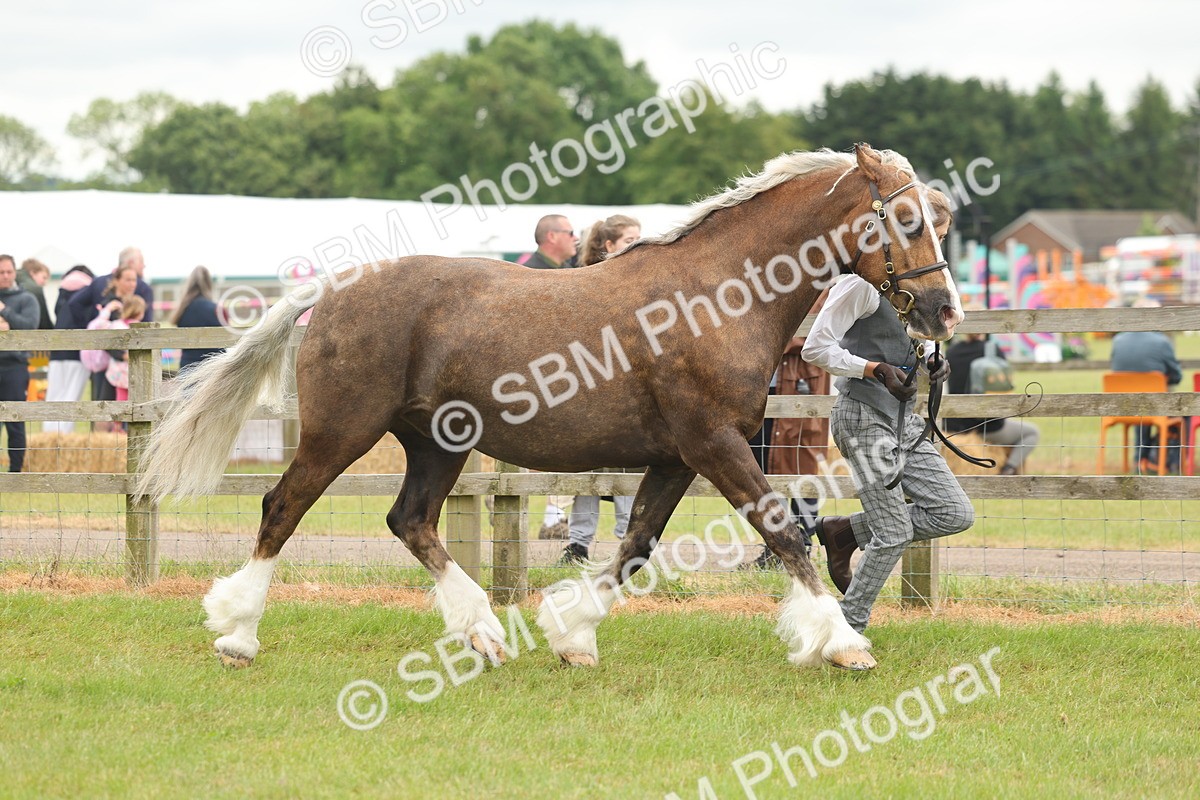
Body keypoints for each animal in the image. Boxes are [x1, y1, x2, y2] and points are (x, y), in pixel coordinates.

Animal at [137, 144, 964, 672]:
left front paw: (572, 637)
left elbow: (634, 549)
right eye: (909, 221)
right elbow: (783, 536)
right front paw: (843, 643)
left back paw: (483, 635)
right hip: (342, 432)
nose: (944, 312)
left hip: (438, 444)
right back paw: (237, 635)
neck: (718, 295)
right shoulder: (715, 445)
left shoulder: (676, 457)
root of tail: (335, 287)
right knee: (282, 508)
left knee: (411, 522)